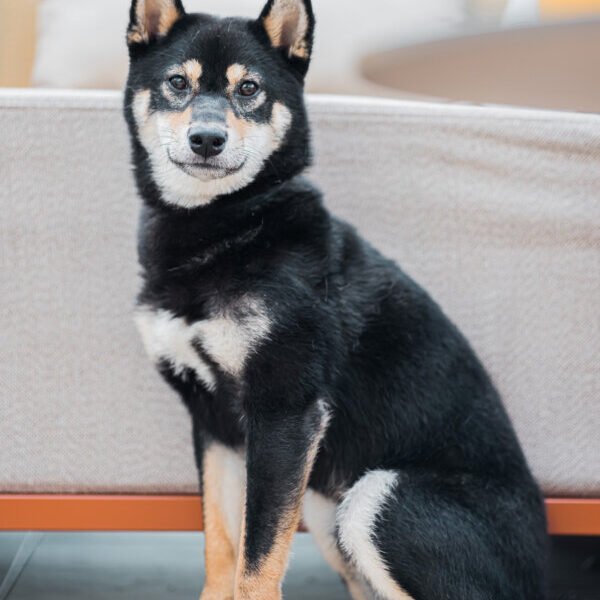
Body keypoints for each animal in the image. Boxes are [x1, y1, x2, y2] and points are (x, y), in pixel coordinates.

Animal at [125, 2, 548, 596]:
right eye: (177, 83)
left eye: (249, 88)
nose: (207, 138)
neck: (230, 227)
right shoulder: (216, 426)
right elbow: (223, 547)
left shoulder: (286, 411)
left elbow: (257, 563)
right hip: (330, 511)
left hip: (379, 500)